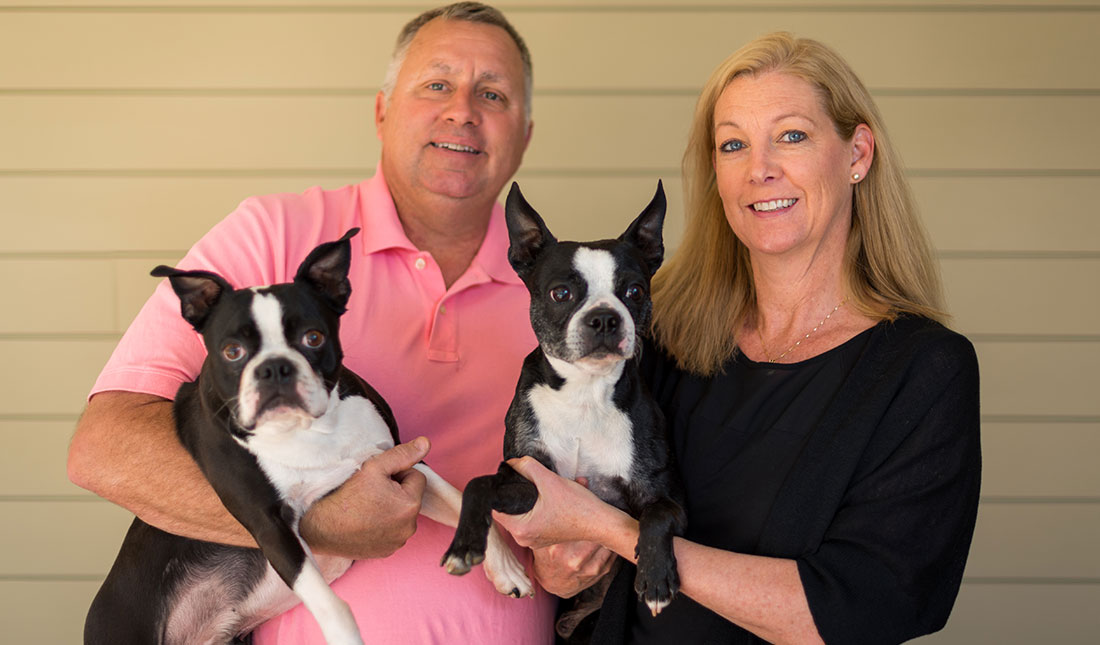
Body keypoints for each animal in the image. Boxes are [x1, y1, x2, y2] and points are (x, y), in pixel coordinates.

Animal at [85, 231, 532, 642]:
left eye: (313, 338)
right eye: (232, 352)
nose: (274, 367)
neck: (310, 430)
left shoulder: (406, 462)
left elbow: (460, 498)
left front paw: (507, 570)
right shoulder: (267, 522)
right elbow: (329, 602)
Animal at [440, 179, 682, 629]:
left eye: (635, 291)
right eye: (561, 293)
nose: (604, 317)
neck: (585, 393)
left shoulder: (666, 496)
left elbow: (658, 515)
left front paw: (657, 577)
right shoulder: (528, 481)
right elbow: (478, 483)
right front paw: (464, 545)